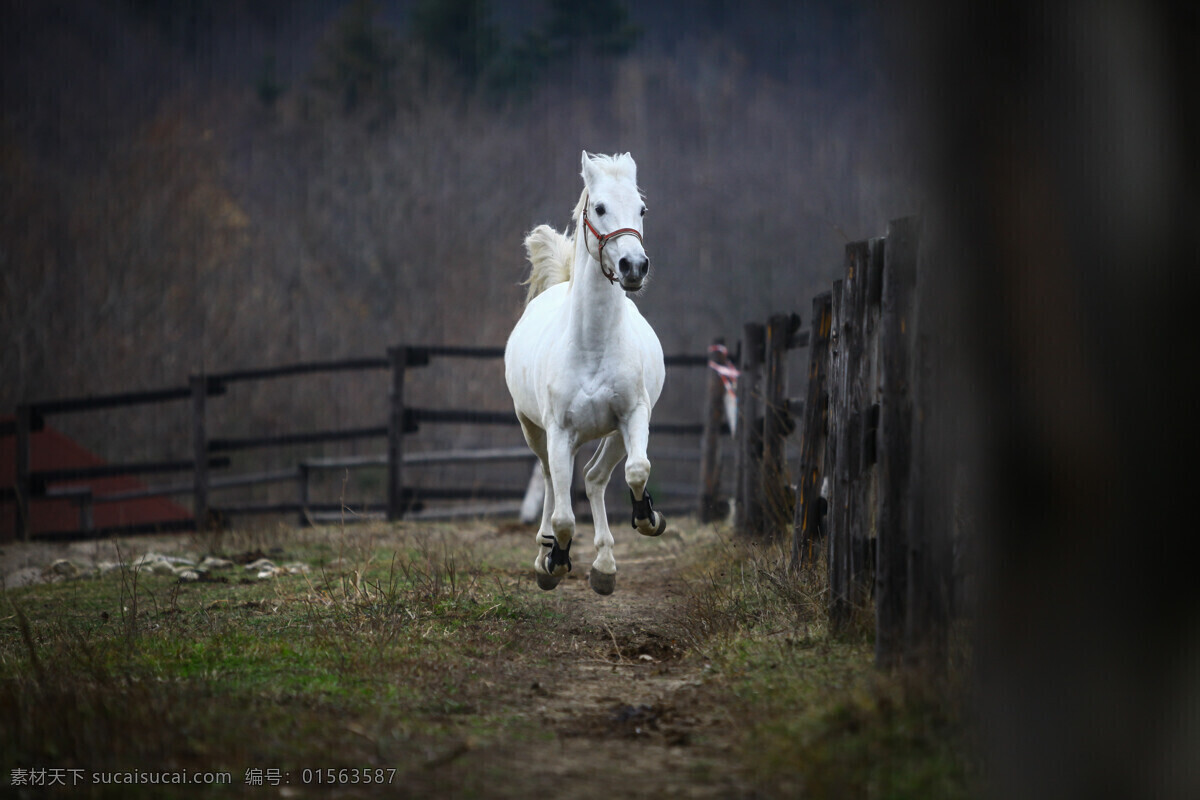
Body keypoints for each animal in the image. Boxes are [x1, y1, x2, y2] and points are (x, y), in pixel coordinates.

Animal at [504, 153, 672, 597]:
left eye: (642, 209)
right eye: (598, 208)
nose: (634, 266)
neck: (592, 344)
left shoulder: (633, 416)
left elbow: (637, 470)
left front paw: (649, 518)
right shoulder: (560, 432)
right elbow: (563, 515)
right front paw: (555, 561)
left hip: (612, 435)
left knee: (595, 478)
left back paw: (604, 566)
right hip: (536, 431)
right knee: (551, 481)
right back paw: (546, 553)